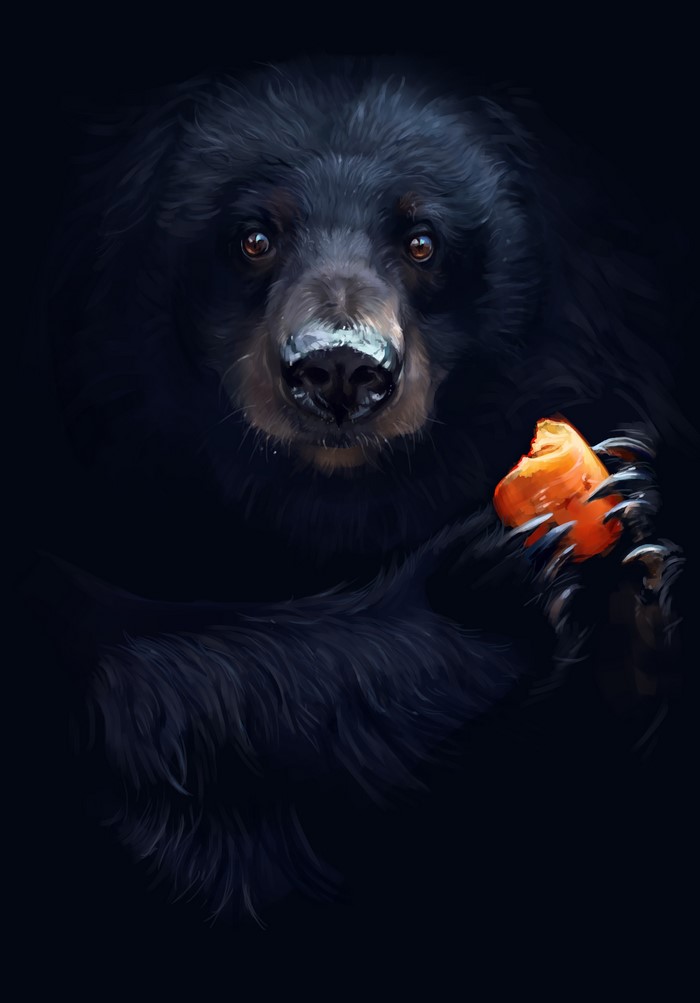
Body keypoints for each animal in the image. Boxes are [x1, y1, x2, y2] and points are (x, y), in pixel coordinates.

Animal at [29, 53, 687, 929]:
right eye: (253, 237)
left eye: (422, 241)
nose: (339, 367)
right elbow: (156, 680)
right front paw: (496, 573)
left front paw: (628, 550)